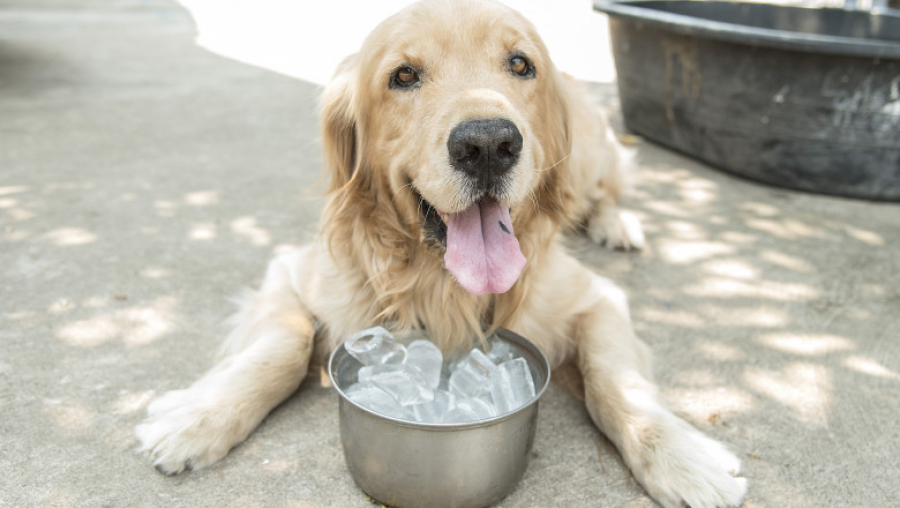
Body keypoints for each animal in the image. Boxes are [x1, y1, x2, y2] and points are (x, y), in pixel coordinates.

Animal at [137, 1, 748, 506]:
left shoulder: (596, 296)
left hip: (593, 155)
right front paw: (196, 417)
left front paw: (683, 458)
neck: (440, 280)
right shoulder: (290, 271)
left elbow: (615, 379)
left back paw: (615, 222)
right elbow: (281, 346)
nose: (489, 145)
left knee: (606, 190)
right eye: (404, 75)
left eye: (520, 64)